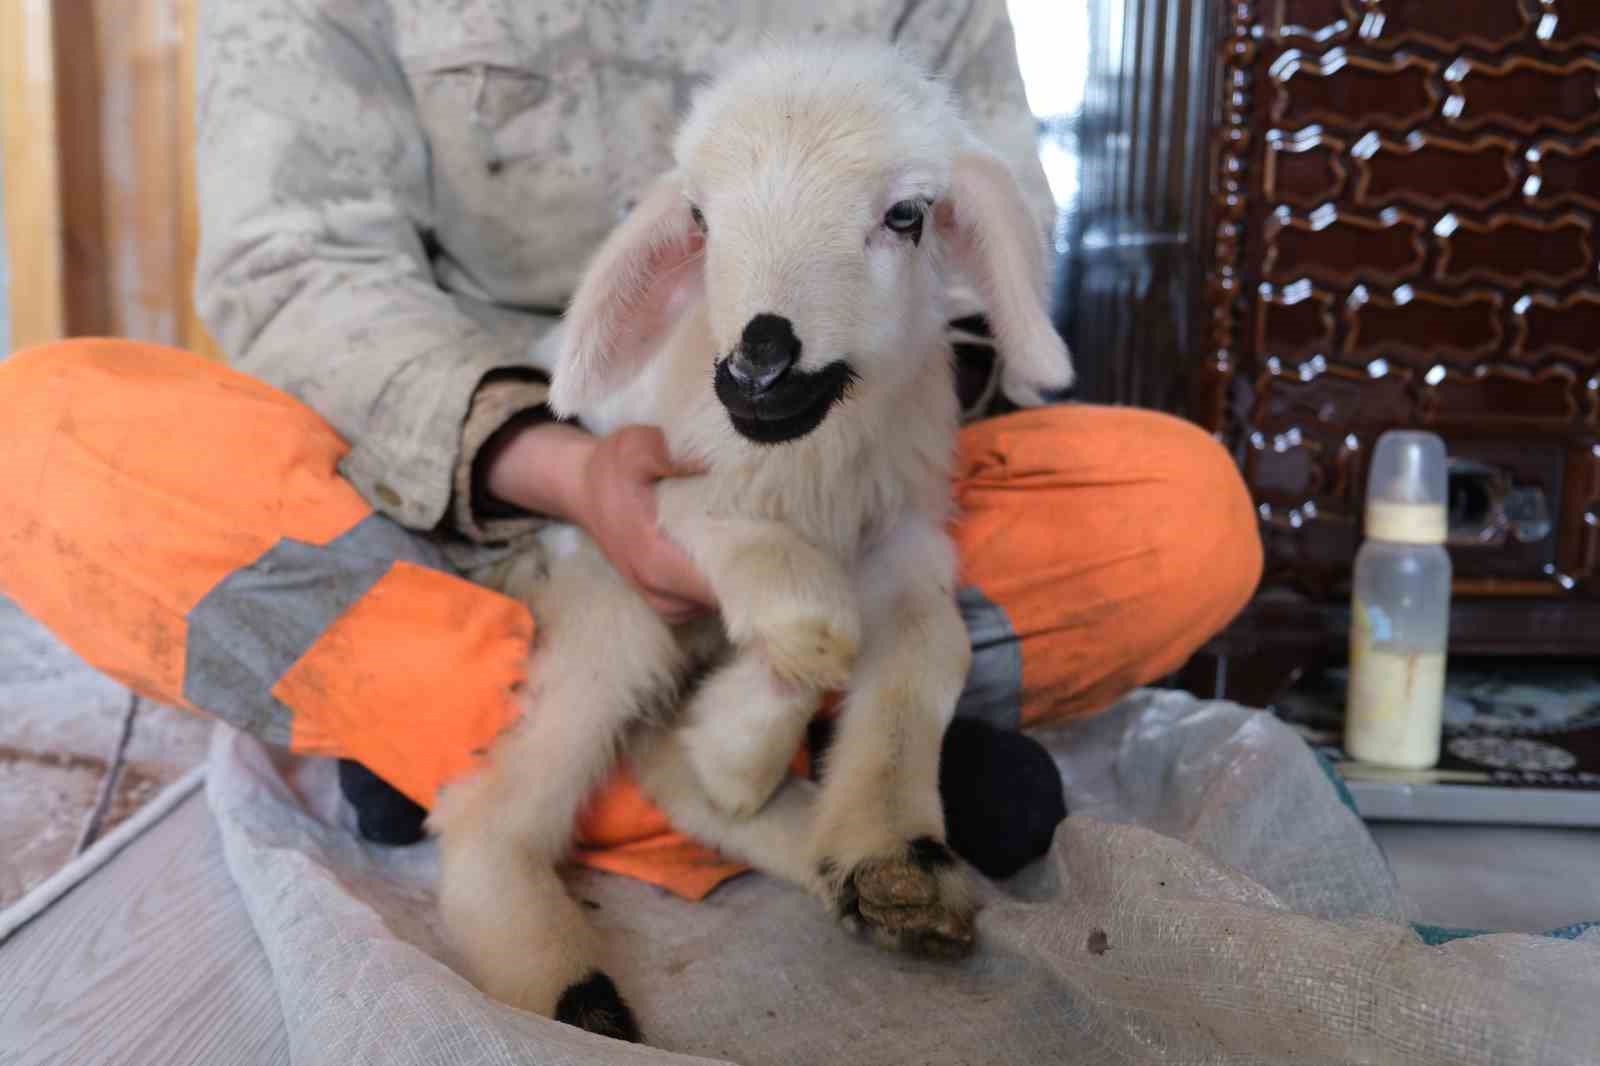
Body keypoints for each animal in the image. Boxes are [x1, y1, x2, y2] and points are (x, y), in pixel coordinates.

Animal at [425, 39, 1075, 1037]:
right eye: (699, 218)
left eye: (907, 215)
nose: (760, 364)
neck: (807, 466)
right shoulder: (662, 499)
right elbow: (817, 623)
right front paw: (739, 754)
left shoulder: (902, 532)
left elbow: (928, 647)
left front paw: (885, 848)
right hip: (610, 602)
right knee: (495, 801)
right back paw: (567, 985)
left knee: (654, 756)